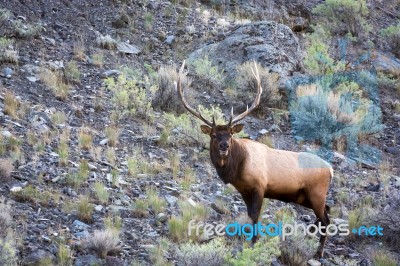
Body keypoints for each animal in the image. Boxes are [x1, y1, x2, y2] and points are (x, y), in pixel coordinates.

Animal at [177, 59, 332, 258]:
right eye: (213, 135)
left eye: (230, 135)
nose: (224, 146)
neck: (237, 169)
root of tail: (331, 169)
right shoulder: (243, 190)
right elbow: (250, 216)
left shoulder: (260, 186)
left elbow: (256, 215)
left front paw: (254, 243)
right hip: (304, 197)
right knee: (327, 211)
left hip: (317, 192)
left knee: (326, 219)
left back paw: (318, 254)